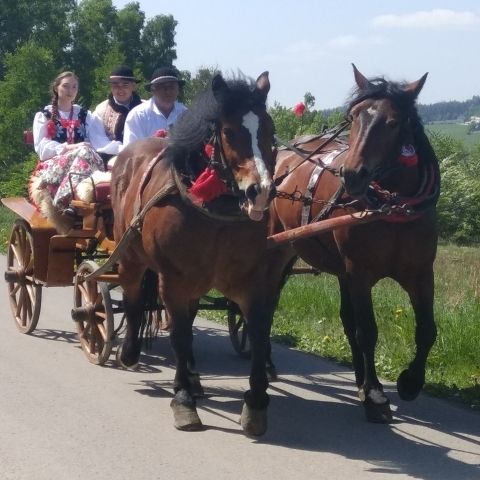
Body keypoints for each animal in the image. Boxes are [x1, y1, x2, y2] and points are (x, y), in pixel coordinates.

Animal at [110, 71, 286, 436]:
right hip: (131, 258)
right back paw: (130, 353)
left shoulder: (256, 281)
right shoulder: (173, 280)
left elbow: (259, 335)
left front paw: (256, 403)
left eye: (268, 129)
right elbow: (178, 335)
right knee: (133, 301)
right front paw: (183, 400)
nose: (261, 192)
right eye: (229, 131)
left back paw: (192, 376)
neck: (213, 210)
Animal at [270, 65, 438, 422]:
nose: (352, 175)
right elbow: (367, 331)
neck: (392, 208)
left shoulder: (420, 275)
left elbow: (426, 330)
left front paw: (409, 382)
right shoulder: (360, 274)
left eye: (393, 122)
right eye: (354, 117)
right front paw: (375, 394)